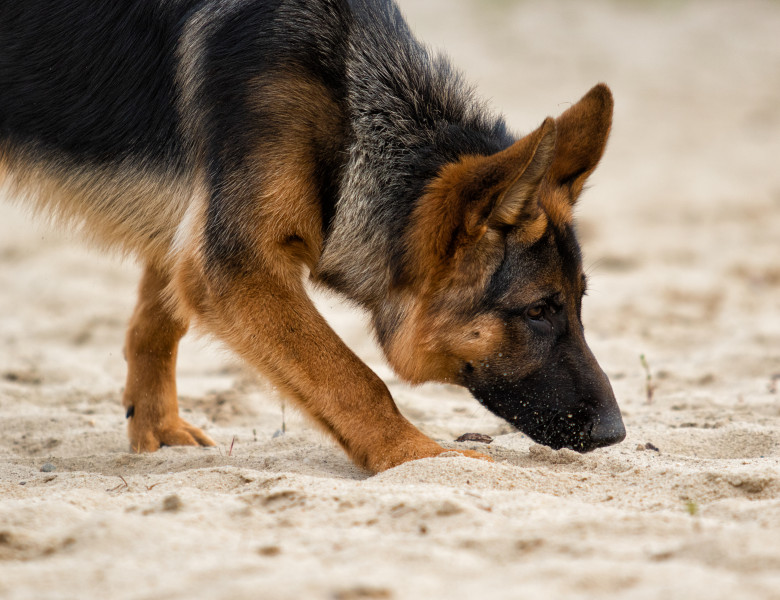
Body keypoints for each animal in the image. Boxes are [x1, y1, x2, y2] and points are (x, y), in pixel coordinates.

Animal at [0, 0, 624, 474]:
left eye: (579, 303)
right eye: (538, 310)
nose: (615, 433)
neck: (352, 110)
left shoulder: (197, 238)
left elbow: (155, 323)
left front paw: (156, 431)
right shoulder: (239, 267)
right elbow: (354, 379)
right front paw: (421, 456)